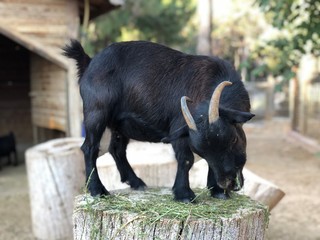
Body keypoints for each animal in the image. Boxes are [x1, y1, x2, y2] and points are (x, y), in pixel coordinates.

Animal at [63, 40, 255, 202]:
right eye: (200, 151)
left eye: (234, 139)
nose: (229, 184)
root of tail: (89, 62)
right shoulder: (179, 128)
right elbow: (186, 159)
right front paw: (184, 195)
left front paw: (217, 191)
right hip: (96, 112)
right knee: (90, 148)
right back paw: (97, 190)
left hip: (119, 124)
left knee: (116, 149)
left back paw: (136, 182)